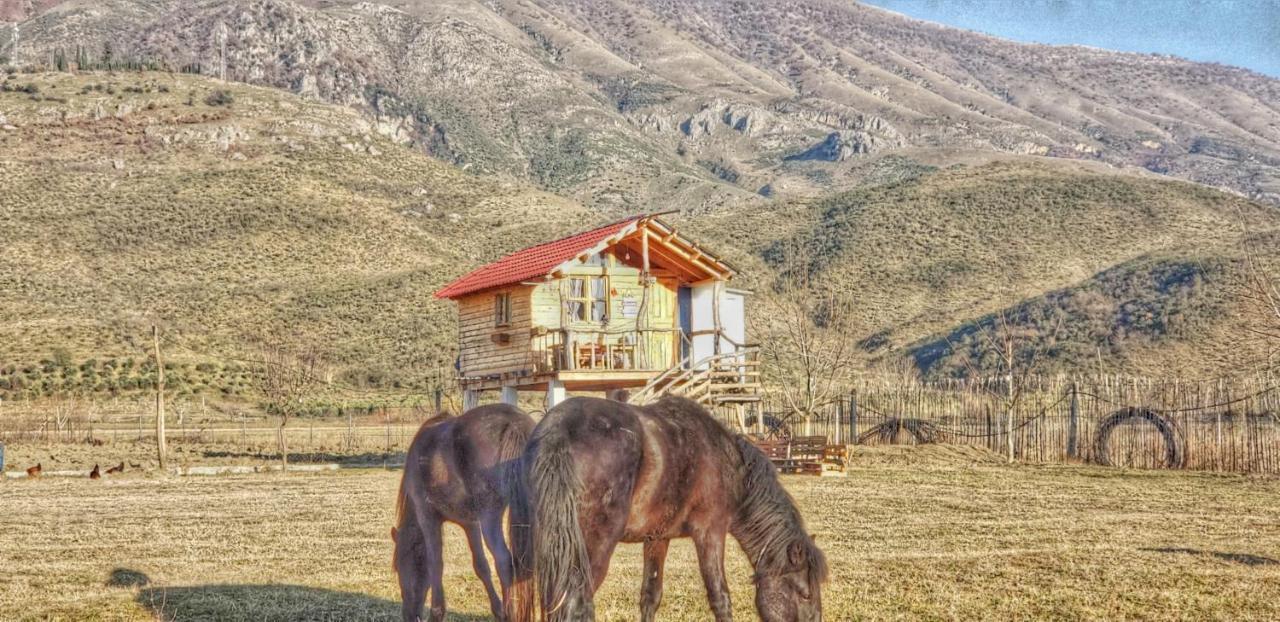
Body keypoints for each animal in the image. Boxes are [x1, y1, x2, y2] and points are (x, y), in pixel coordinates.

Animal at [389, 404, 529, 622]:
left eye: (398, 567)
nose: (408, 615)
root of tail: (514, 423)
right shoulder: (470, 523)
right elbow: (481, 565)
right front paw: (497, 610)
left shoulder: (427, 518)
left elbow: (435, 564)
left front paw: (436, 613)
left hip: (491, 517)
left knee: (504, 561)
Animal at [509, 396, 829, 622]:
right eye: (804, 594)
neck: (728, 462)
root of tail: (558, 431)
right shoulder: (711, 532)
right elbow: (720, 597)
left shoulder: (657, 539)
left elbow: (650, 596)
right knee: (576, 605)